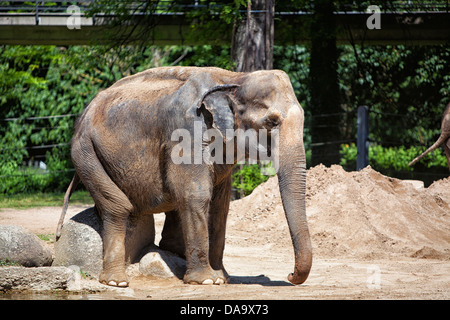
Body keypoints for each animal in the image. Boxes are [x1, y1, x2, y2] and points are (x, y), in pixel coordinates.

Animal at [56, 67, 312, 288]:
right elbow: (196, 194)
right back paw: (116, 282)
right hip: (85, 152)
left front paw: (222, 278)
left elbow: (220, 204)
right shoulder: (186, 130)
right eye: (271, 122)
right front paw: (207, 281)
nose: (289, 275)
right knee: (118, 207)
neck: (235, 78)